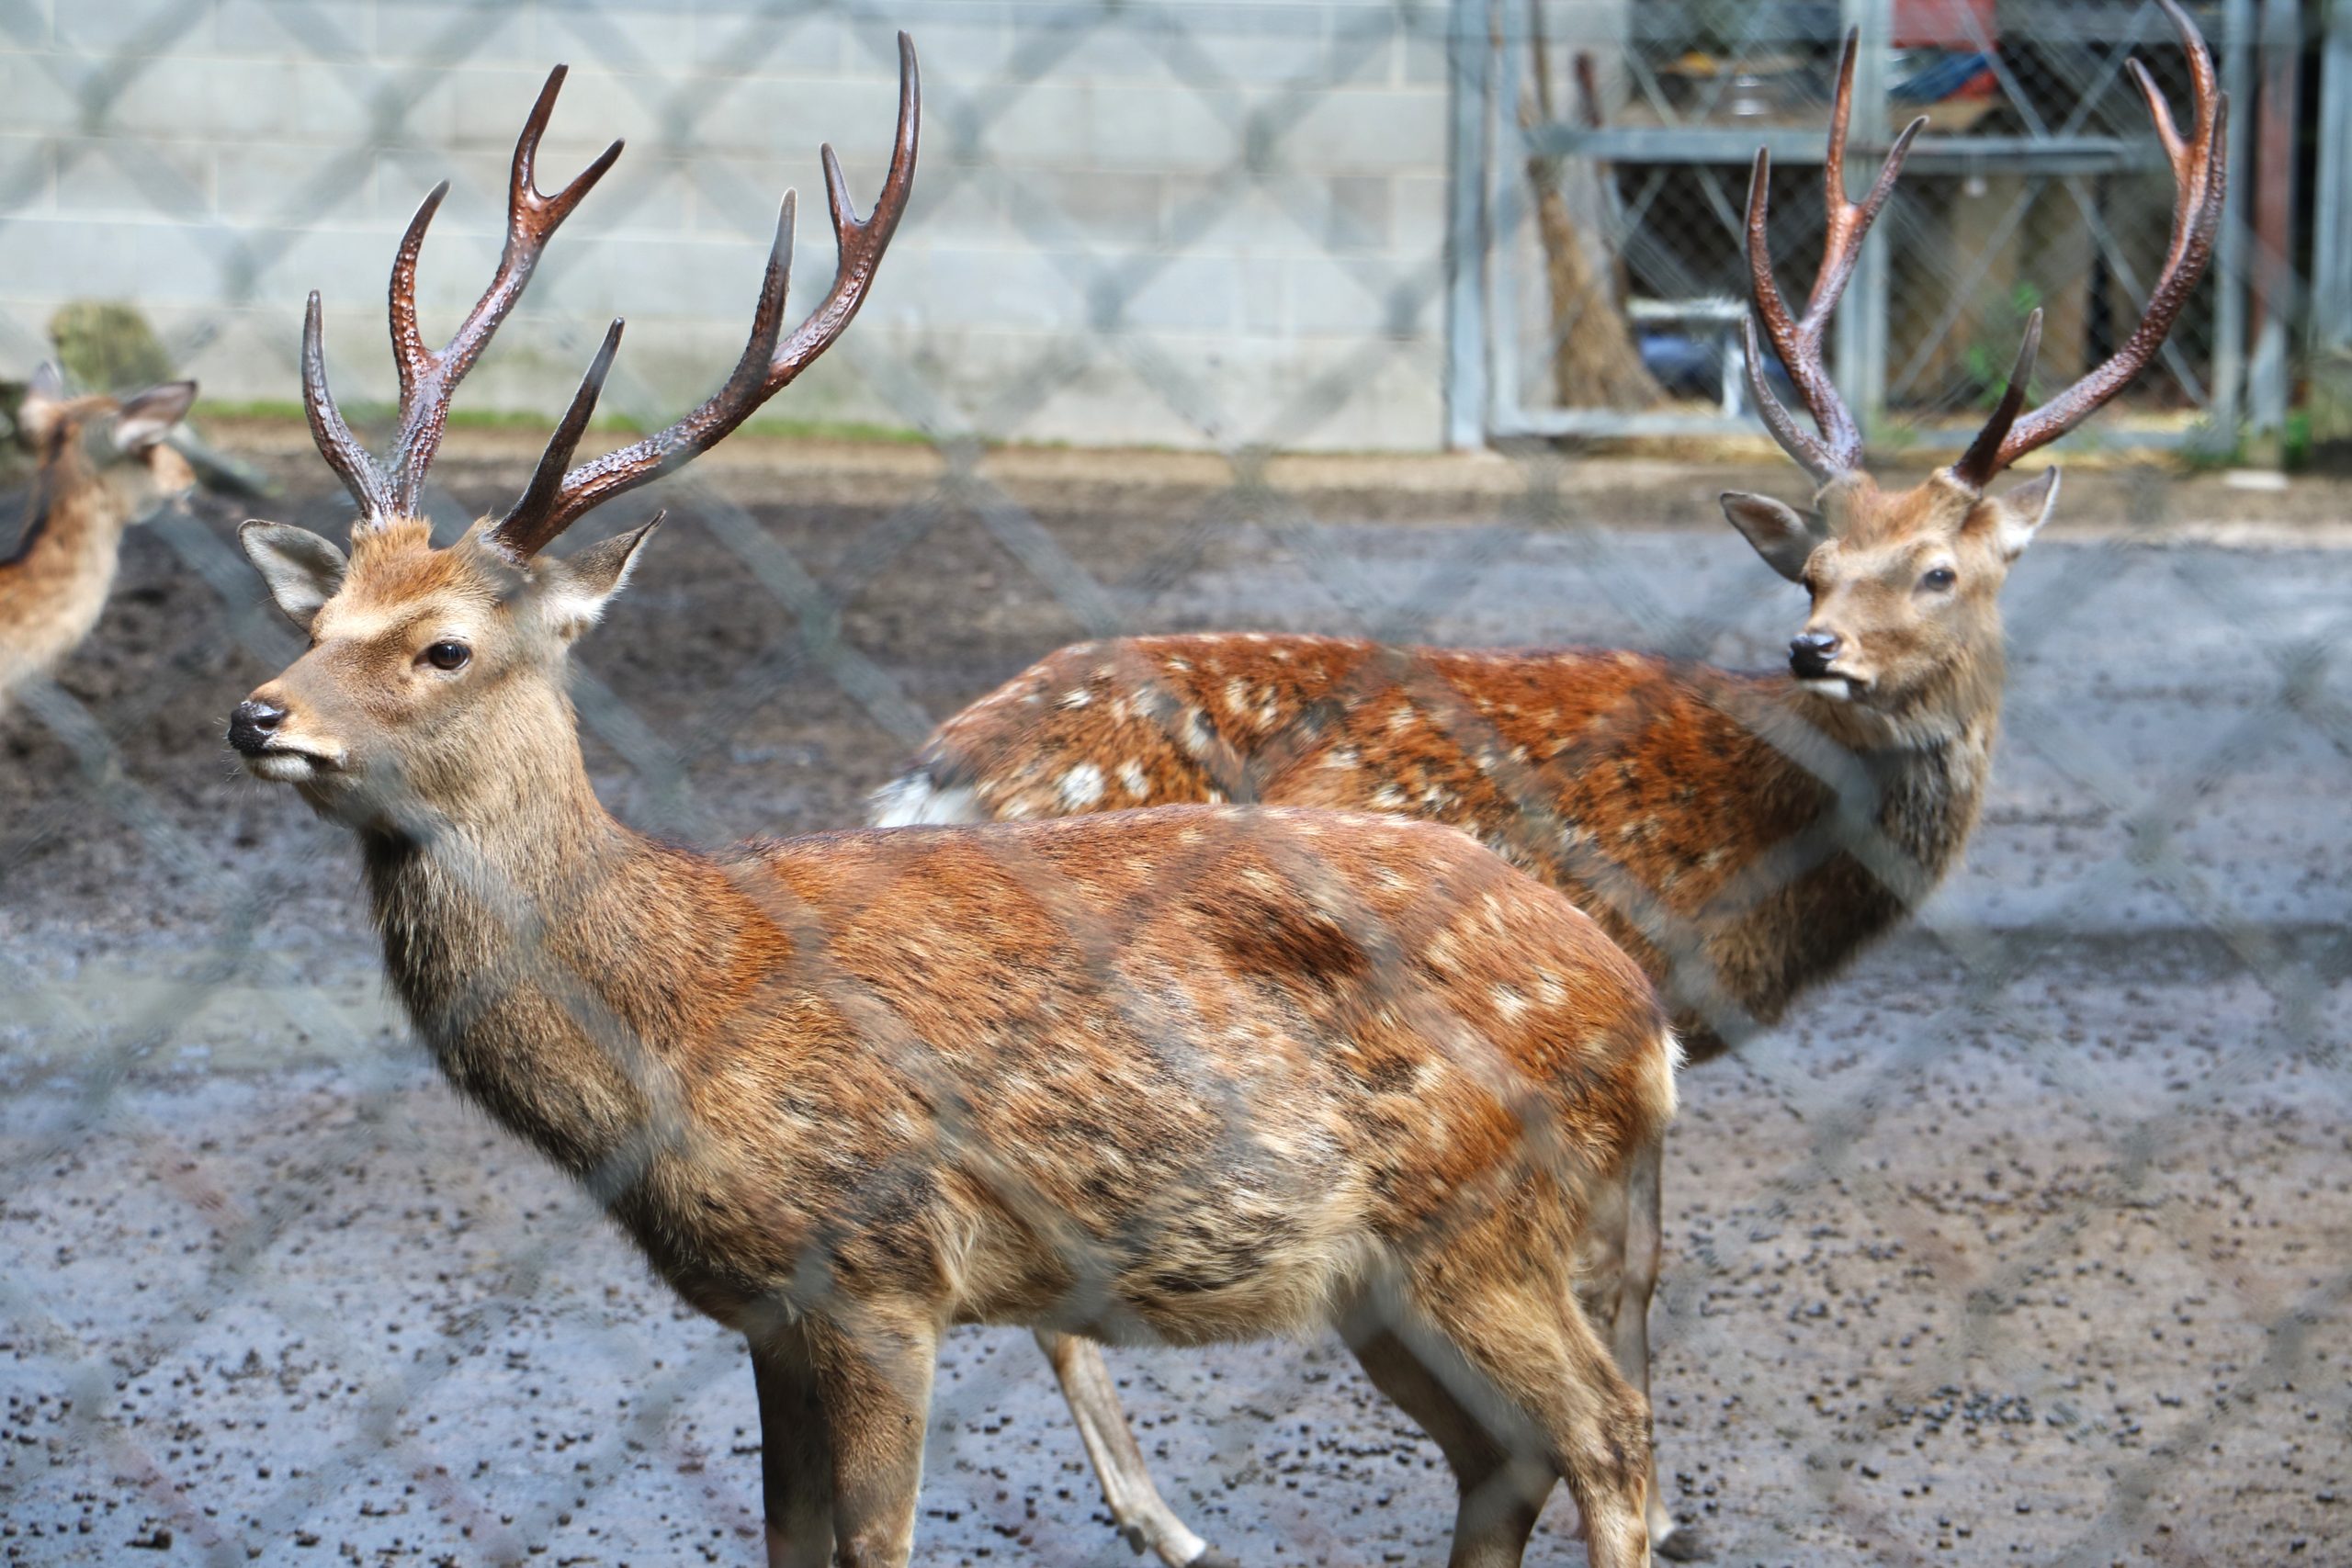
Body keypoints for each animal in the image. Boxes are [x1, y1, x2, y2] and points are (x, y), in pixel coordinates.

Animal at [225, 42, 1683, 1568]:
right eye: (319, 615)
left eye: (444, 644)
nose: (257, 714)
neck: (675, 1030)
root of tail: (1644, 1015)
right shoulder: (769, 1310)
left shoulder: (882, 1270)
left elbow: (875, 1541)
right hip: (1381, 1273)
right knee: (1503, 1452)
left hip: (1487, 1221)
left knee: (1609, 1431)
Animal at [868, 3, 2226, 1561]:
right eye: (1818, 565)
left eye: (1938, 569)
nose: (1816, 646)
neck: (1766, 841)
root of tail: (939, 778)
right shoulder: (1636, 1008)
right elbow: (1628, 1278)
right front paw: (1679, 1506)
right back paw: (1167, 1515)